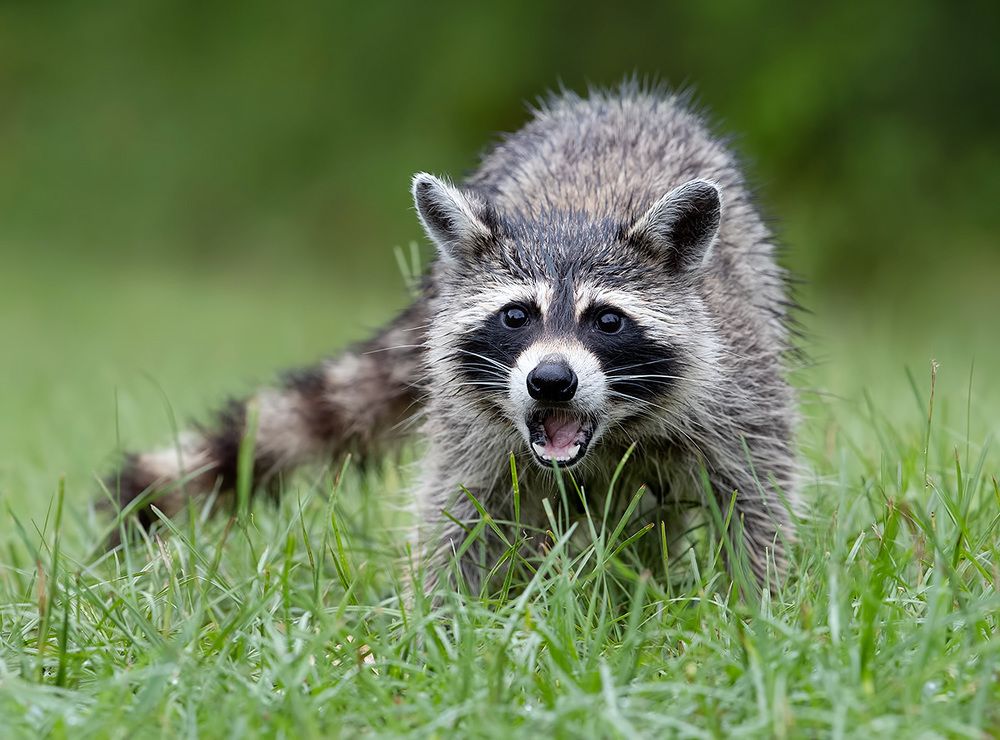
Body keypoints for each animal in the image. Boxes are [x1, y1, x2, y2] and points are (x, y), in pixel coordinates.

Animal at [105, 83, 799, 590]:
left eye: (607, 321)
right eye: (516, 316)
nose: (551, 381)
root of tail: (619, 100)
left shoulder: (738, 387)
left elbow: (756, 498)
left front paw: (752, 610)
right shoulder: (473, 428)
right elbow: (457, 511)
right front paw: (440, 624)